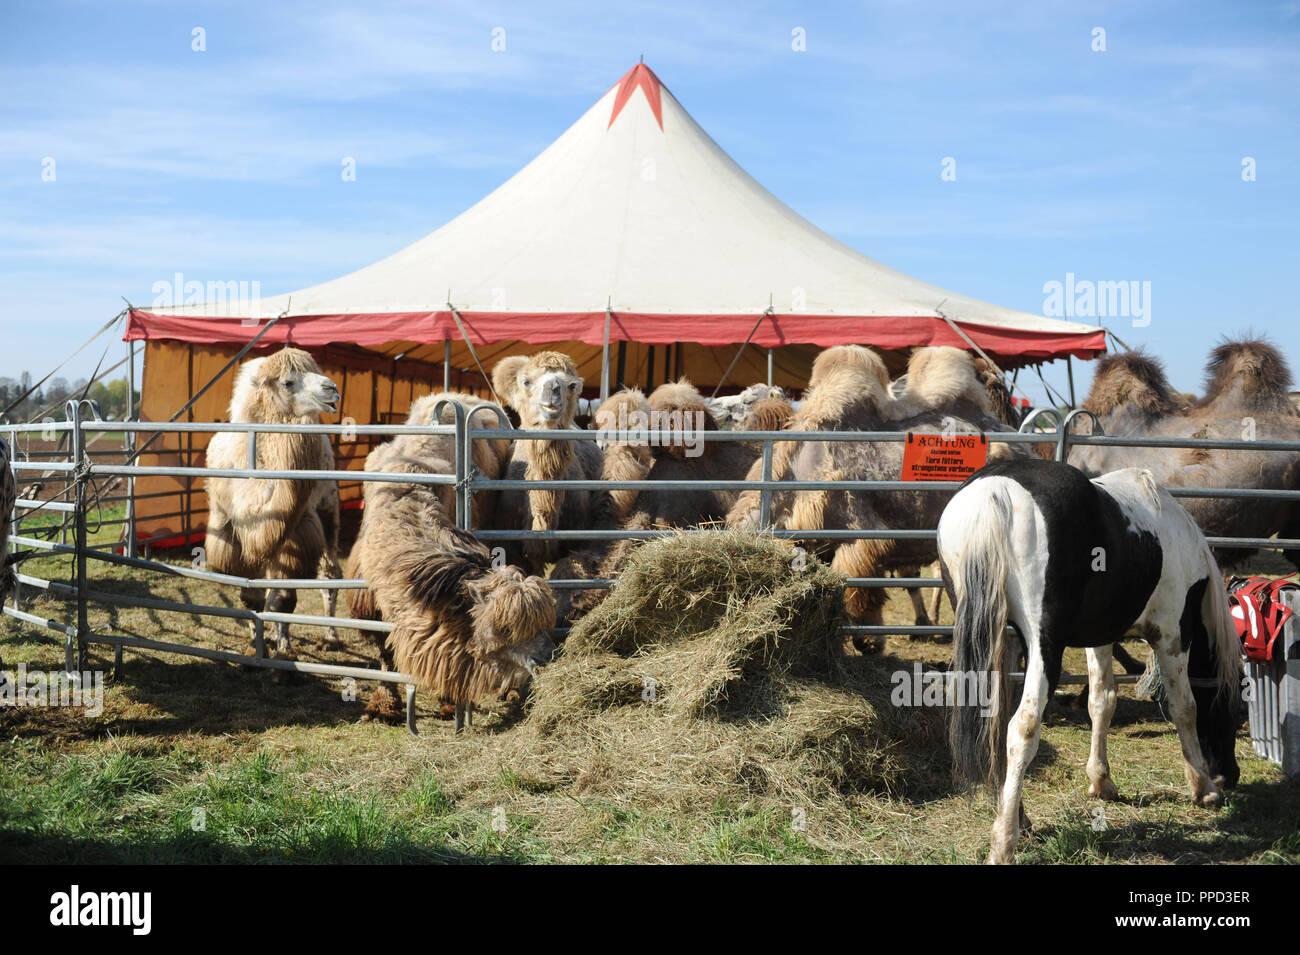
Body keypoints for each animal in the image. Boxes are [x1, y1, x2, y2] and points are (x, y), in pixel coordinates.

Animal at [202, 348, 340, 660]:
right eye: (288, 382)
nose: (332, 389)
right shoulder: (233, 530)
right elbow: (250, 596)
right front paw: (256, 645)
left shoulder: (295, 530)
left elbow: (284, 599)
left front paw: (284, 651)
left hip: (328, 509)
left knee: (330, 576)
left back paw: (329, 636)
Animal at [941, 457, 1242, 867]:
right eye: (1235, 710)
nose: (1232, 775)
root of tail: (996, 491)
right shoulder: (1172, 634)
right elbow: (1185, 707)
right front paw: (1203, 786)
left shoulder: (1100, 638)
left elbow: (1102, 701)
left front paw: (1101, 780)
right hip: (1043, 645)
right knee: (1022, 728)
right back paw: (1003, 842)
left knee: (999, 722)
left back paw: (1019, 818)